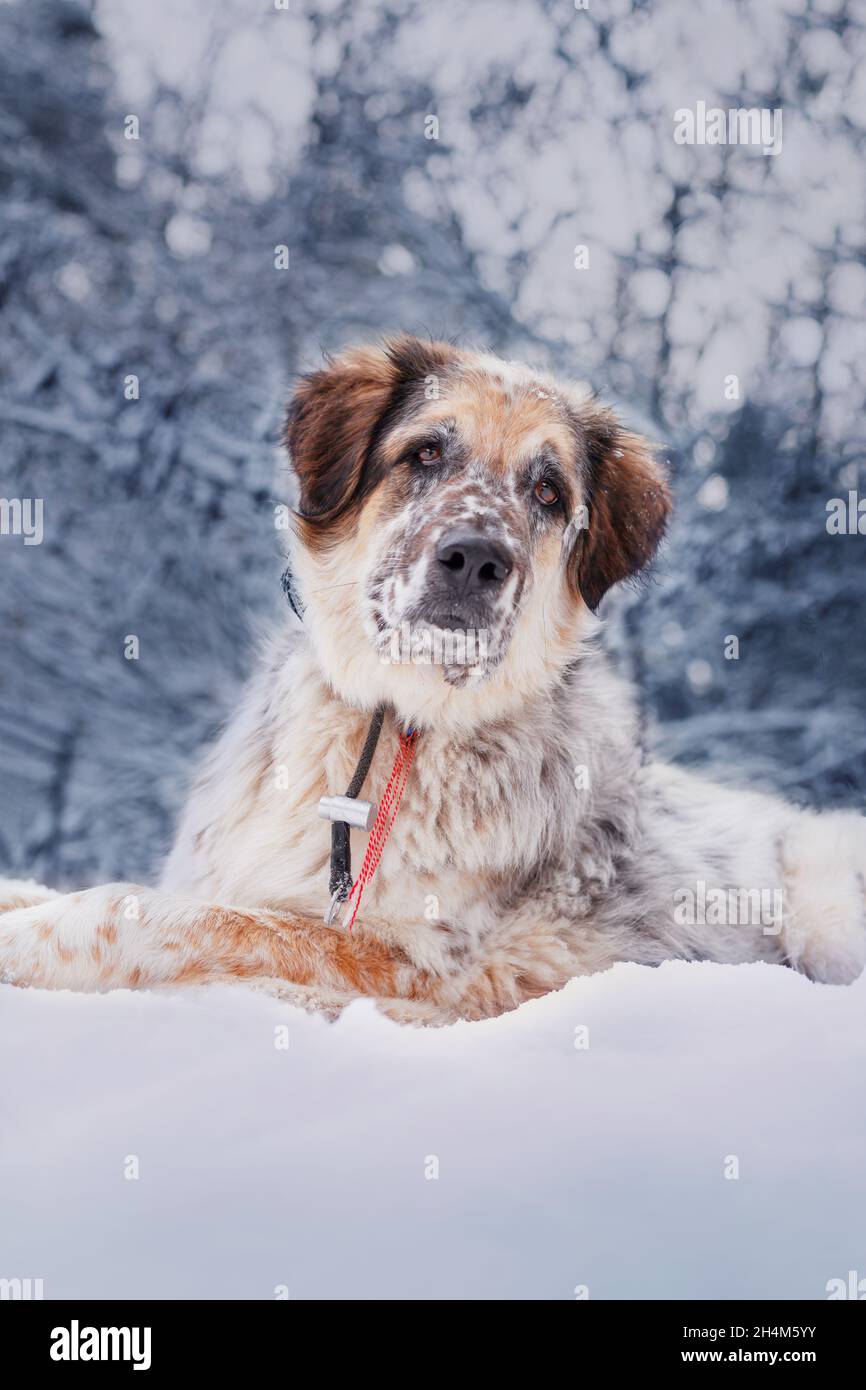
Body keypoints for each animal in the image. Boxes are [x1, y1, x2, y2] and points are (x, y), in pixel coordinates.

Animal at [1, 334, 866, 1023]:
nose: (476, 560)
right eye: (425, 453)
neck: (390, 720)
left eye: (547, 492)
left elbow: (152, 913)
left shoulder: (410, 956)